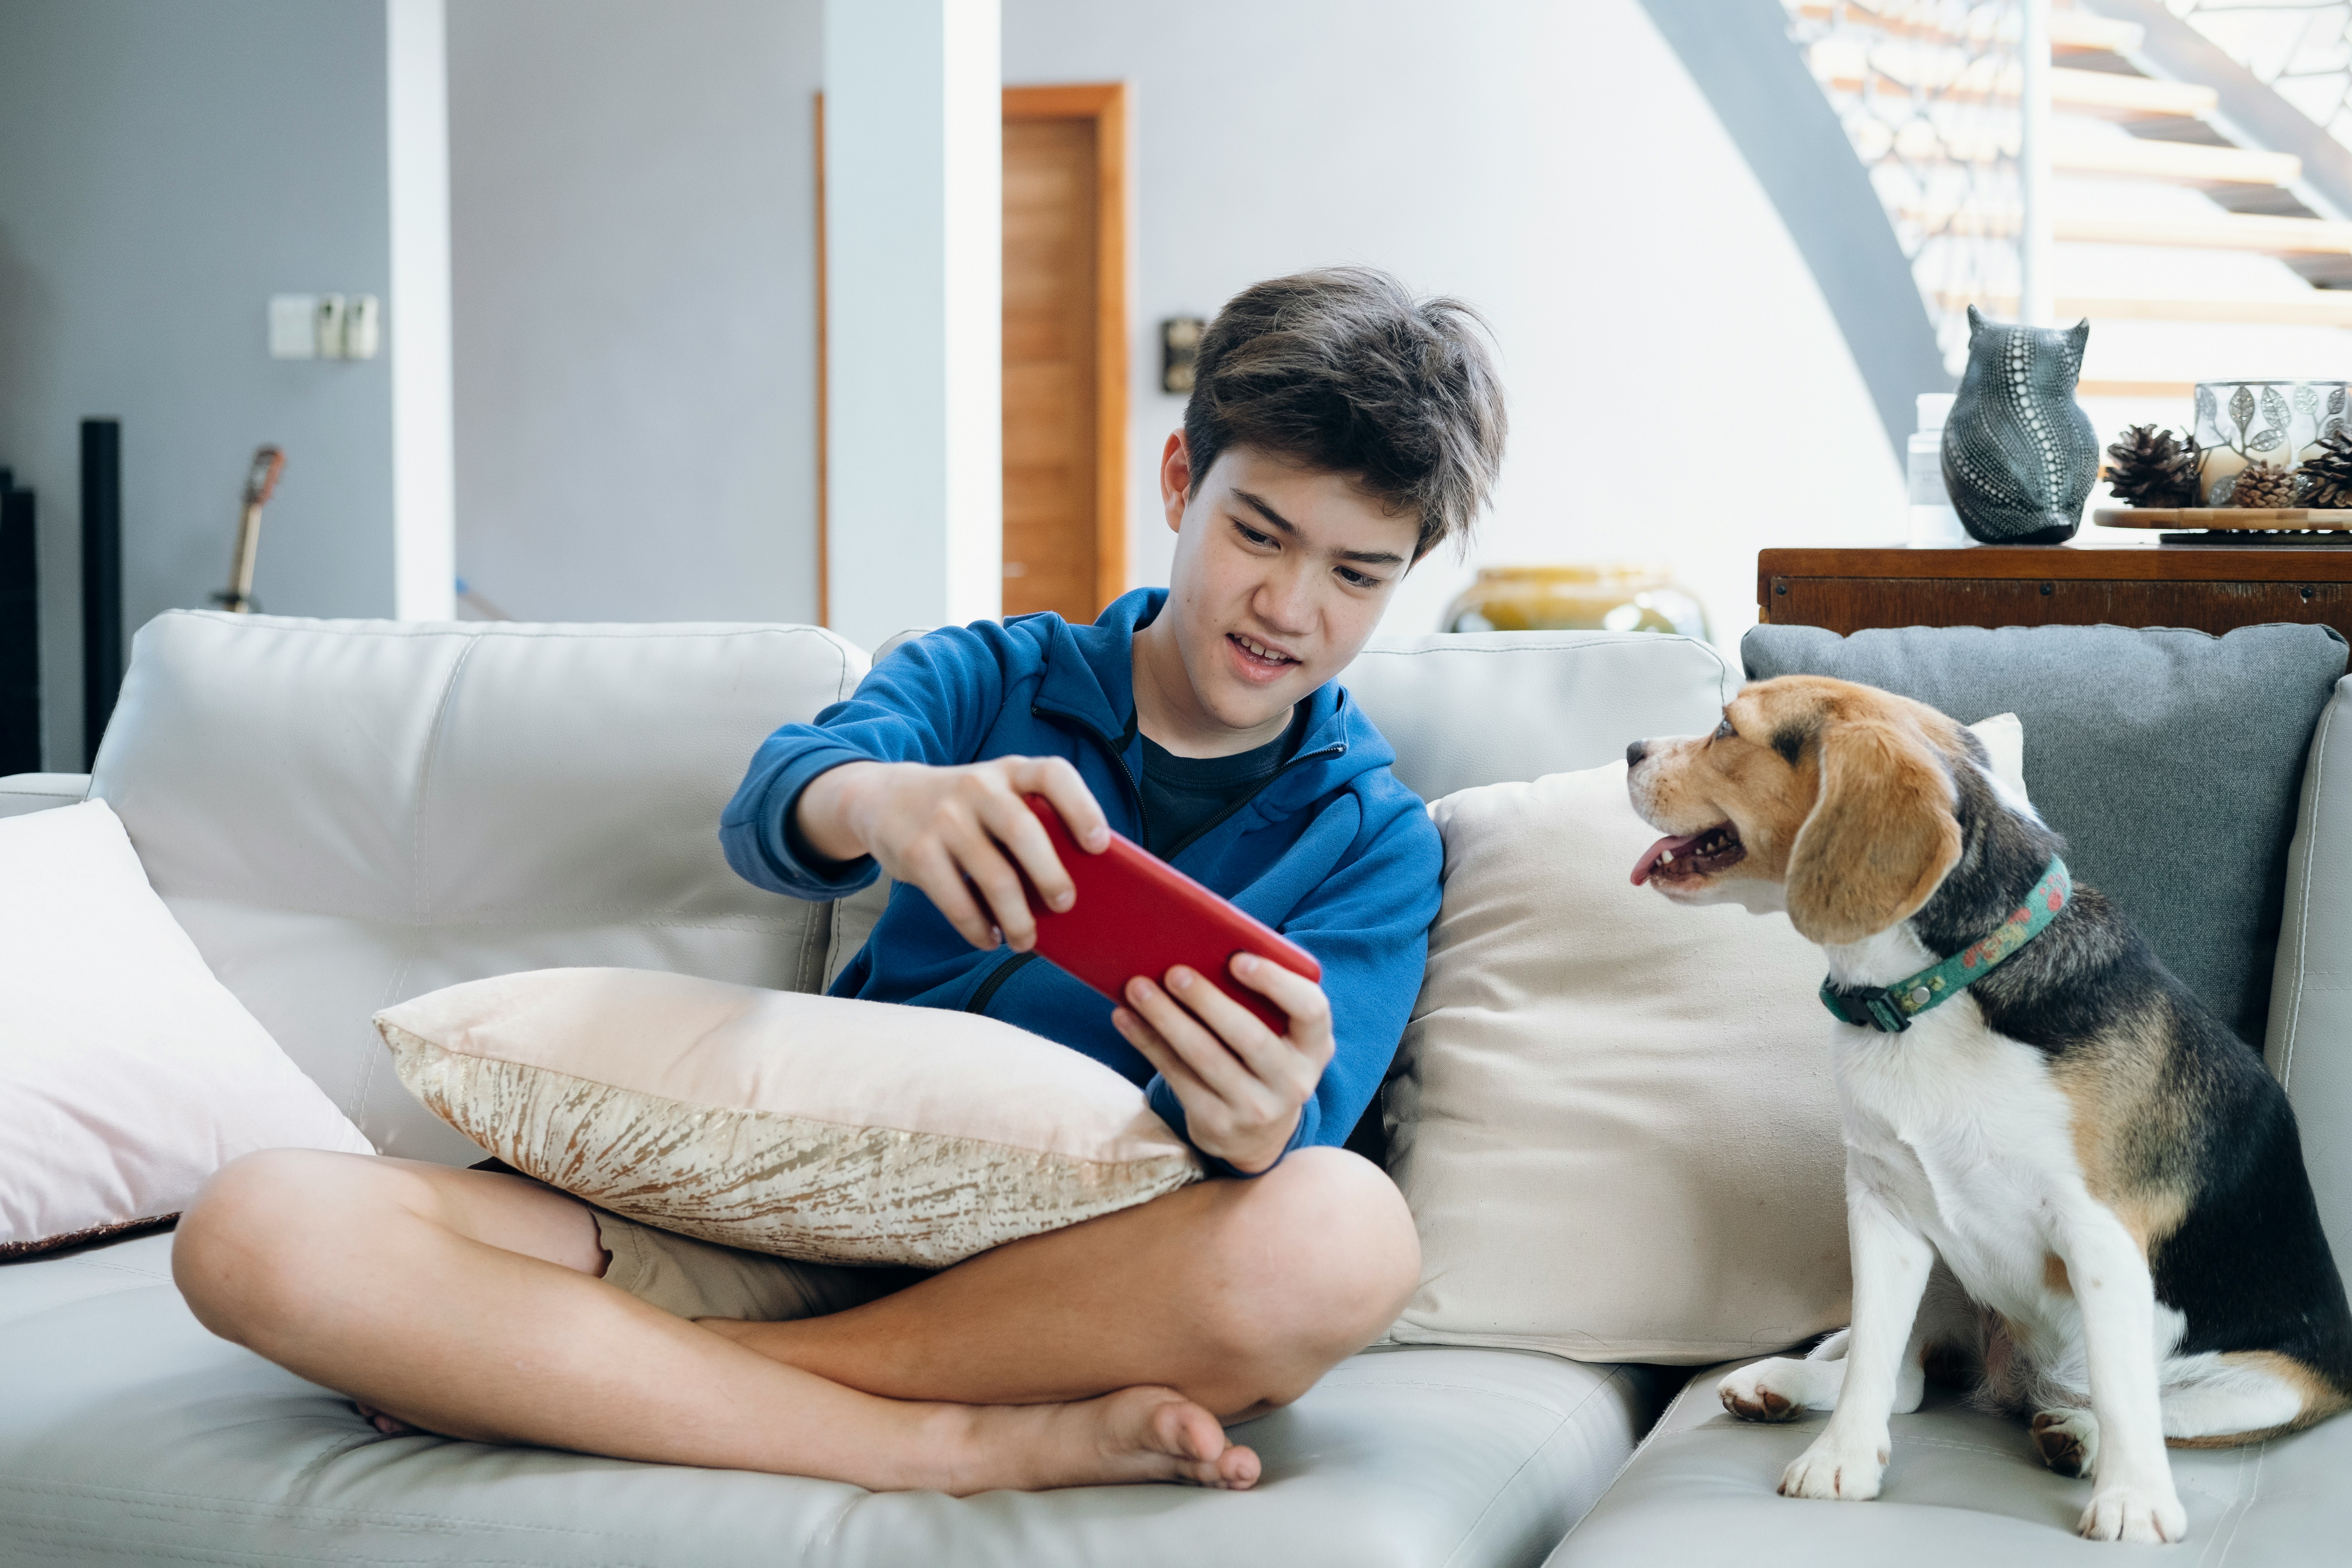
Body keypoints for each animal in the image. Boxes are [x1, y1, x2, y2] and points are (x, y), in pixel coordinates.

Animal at [1628, 672, 2343, 1542]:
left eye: (1727, 728)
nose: (1629, 748)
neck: (1941, 989)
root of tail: (2014, 1382)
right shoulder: (1885, 1210)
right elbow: (1873, 1362)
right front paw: (1841, 1459)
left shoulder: (2100, 1235)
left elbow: (2126, 1390)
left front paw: (2135, 1500)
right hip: (1947, 1267)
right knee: (1905, 1381)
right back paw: (1788, 1383)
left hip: (2273, 1385)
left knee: (2136, 1401)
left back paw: (2080, 1436)